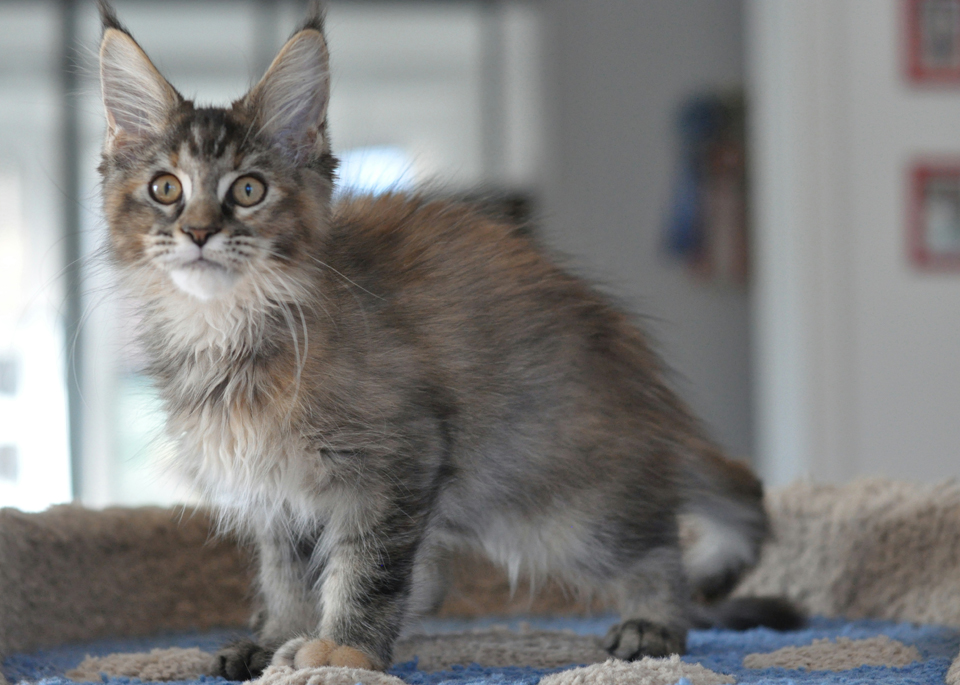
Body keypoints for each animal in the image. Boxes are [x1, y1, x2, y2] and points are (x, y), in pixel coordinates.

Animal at [97, 0, 800, 672]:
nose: (197, 232)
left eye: (248, 190)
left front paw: (343, 650)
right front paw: (278, 640)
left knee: (655, 545)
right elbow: (287, 575)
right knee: (433, 576)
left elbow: (369, 567)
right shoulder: (278, 494)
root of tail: (647, 391)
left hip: (562, 505)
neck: (227, 329)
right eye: (166, 188)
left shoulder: (399, 459)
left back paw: (653, 623)